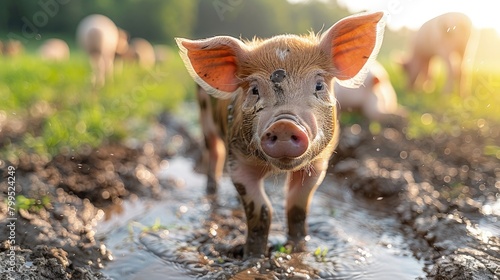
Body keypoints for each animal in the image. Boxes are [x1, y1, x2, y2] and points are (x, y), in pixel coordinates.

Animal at [176, 11, 386, 258]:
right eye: (255, 90)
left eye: (319, 85)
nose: (284, 124)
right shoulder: (238, 161)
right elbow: (261, 212)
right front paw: (253, 256)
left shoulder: (318, 164)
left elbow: (296, 207)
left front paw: (297, 248)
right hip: (206, 123)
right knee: (214, 155)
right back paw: (211, 192)